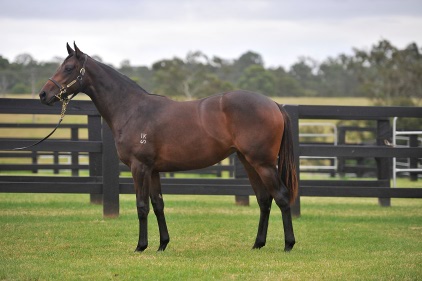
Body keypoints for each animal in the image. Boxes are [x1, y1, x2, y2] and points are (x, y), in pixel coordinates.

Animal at [38, 43, 296, 252]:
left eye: (69, 68)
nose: (43, 94)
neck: (131, 109)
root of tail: (273, 104)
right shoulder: (153, 171)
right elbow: (158, 205)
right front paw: (162, 244)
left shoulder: (139, 167)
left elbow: (142, 206)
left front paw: (141, 246)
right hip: (248, 162)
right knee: (264, 200)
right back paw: (258, 244)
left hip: (263, 164)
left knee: (281, 197)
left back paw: (288, 245)